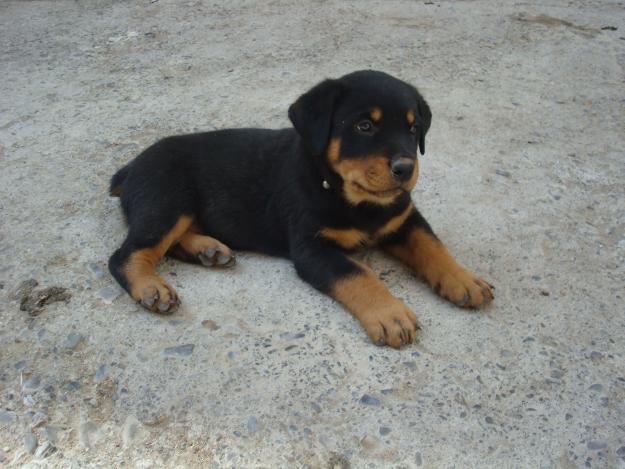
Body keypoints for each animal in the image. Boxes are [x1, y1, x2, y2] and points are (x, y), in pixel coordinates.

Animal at [109, 69, 494, 348]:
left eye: (414, 128)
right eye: (364, 125)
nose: (405, 168)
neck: (351, 197)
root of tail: (131, 167)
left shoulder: (404, 218)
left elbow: (433, 246)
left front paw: (464, 279)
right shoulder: (312, 247)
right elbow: (359, 275)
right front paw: (390, 313)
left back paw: (208, 250)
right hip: (167, 201)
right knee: (126, 254)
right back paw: (152, 288)